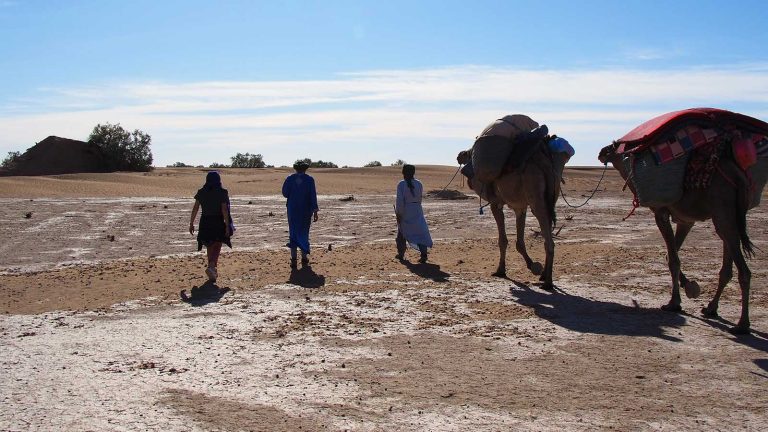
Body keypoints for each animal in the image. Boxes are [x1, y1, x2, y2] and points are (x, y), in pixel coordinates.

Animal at [456, 140, 568, 292]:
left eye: (467, 153)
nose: (459, 155)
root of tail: (544, 164)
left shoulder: (495, 203)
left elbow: (502, 240)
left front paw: (500, 270)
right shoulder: (520, 207)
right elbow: (519, 242)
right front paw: (532, 265)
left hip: (536, 198)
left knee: (548, 240)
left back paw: (548, 283)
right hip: (551, 197)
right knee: (548, 230)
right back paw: (544, 275)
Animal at [600, 107, 768, 334]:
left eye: (615, 144)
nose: (601, 151)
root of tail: (737, 172)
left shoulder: (661, 212)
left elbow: (673, 259)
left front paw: (674, 303)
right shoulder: (685, 220)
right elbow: (671, 255)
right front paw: (690, 288)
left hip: (722, 209)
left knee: (743, 269)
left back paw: (742, 324)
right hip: (730, 214)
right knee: (727, 265)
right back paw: (711, 308)